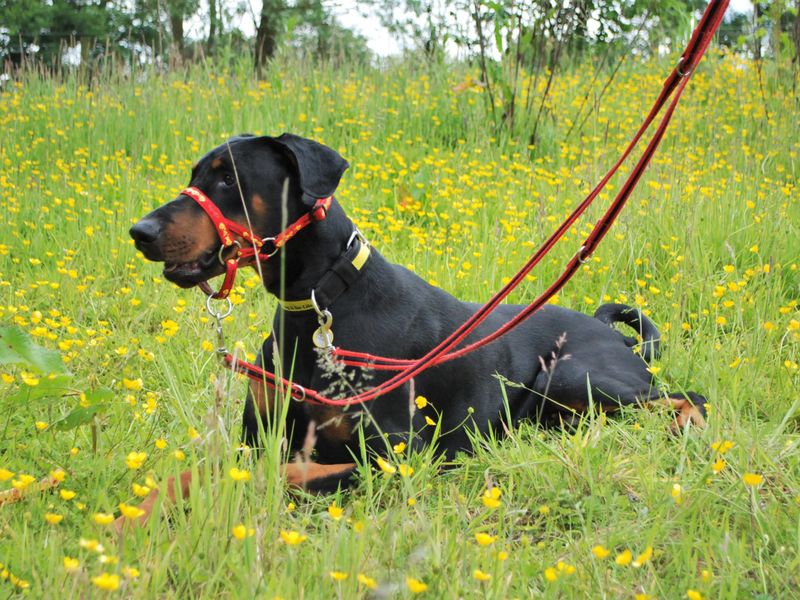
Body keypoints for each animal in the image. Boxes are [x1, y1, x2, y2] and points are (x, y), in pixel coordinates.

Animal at [130, 134, 708, 504]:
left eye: (228, 178)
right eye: (194, 175)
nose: (141, 231)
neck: (319, 304)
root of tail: (615, 334)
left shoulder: (394, 453)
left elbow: (284, 473)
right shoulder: (257, 436)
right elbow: (193, 474)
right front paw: (130, 519)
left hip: (569, 376)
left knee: (688, 396)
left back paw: (688, 429)